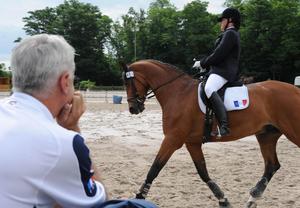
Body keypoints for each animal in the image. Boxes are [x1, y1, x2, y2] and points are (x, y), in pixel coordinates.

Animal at [122, 59, 300, 207]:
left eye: (128, 81)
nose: (133, 108)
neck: (178, 93)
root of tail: (295, 90)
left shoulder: (172, 139)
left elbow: (155, 168)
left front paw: (139, 197)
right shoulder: (191, 142)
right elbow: (203, 172)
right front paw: (223, 199)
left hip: (292, 132)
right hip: (266, 135)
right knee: (272, 165)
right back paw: (252, 199)